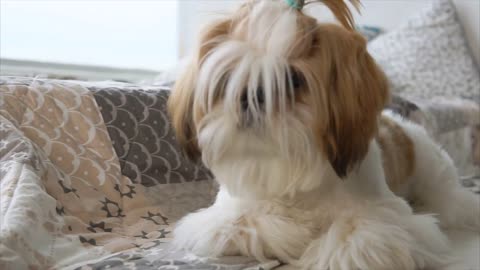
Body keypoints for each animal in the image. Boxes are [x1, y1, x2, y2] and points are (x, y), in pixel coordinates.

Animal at [167, 1, 478, 268]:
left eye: (293, 79)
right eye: (228, 78)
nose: (251, 96)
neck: (296, 173)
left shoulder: (390, 219)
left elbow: (362, 235)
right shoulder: (223, 219)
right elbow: (241, 223)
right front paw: (294, 232)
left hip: (435, 175)